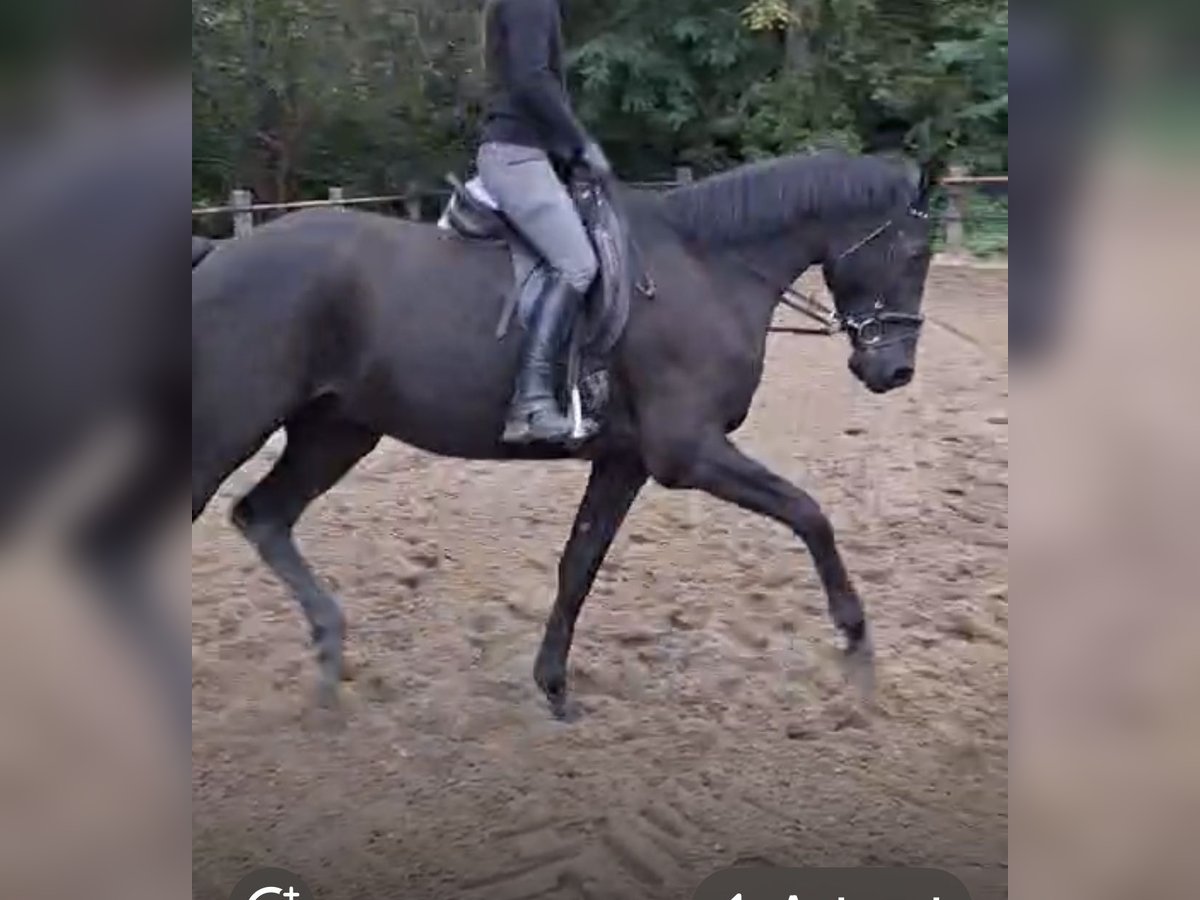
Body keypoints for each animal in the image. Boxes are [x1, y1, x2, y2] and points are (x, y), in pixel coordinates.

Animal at [191, 150, 940, 718]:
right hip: (232, 425)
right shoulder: (689, 453)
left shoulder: (625, 461)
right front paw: (856, 642)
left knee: (263, 516)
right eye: (914, 251)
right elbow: (809, 514)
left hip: (336, 431)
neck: (707, 268)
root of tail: (217, 254)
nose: (894, 370)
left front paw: (552, 685)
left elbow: (579, 563)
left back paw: (329, 655)